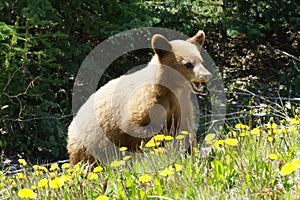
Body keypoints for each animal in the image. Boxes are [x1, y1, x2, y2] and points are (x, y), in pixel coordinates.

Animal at [67, 30, 213, 164]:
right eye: (188, 64)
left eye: (201, 60)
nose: (206, 75)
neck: (172, 90)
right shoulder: (145, 107)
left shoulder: (181, 105)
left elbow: (184, 131)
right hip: (90, 142)